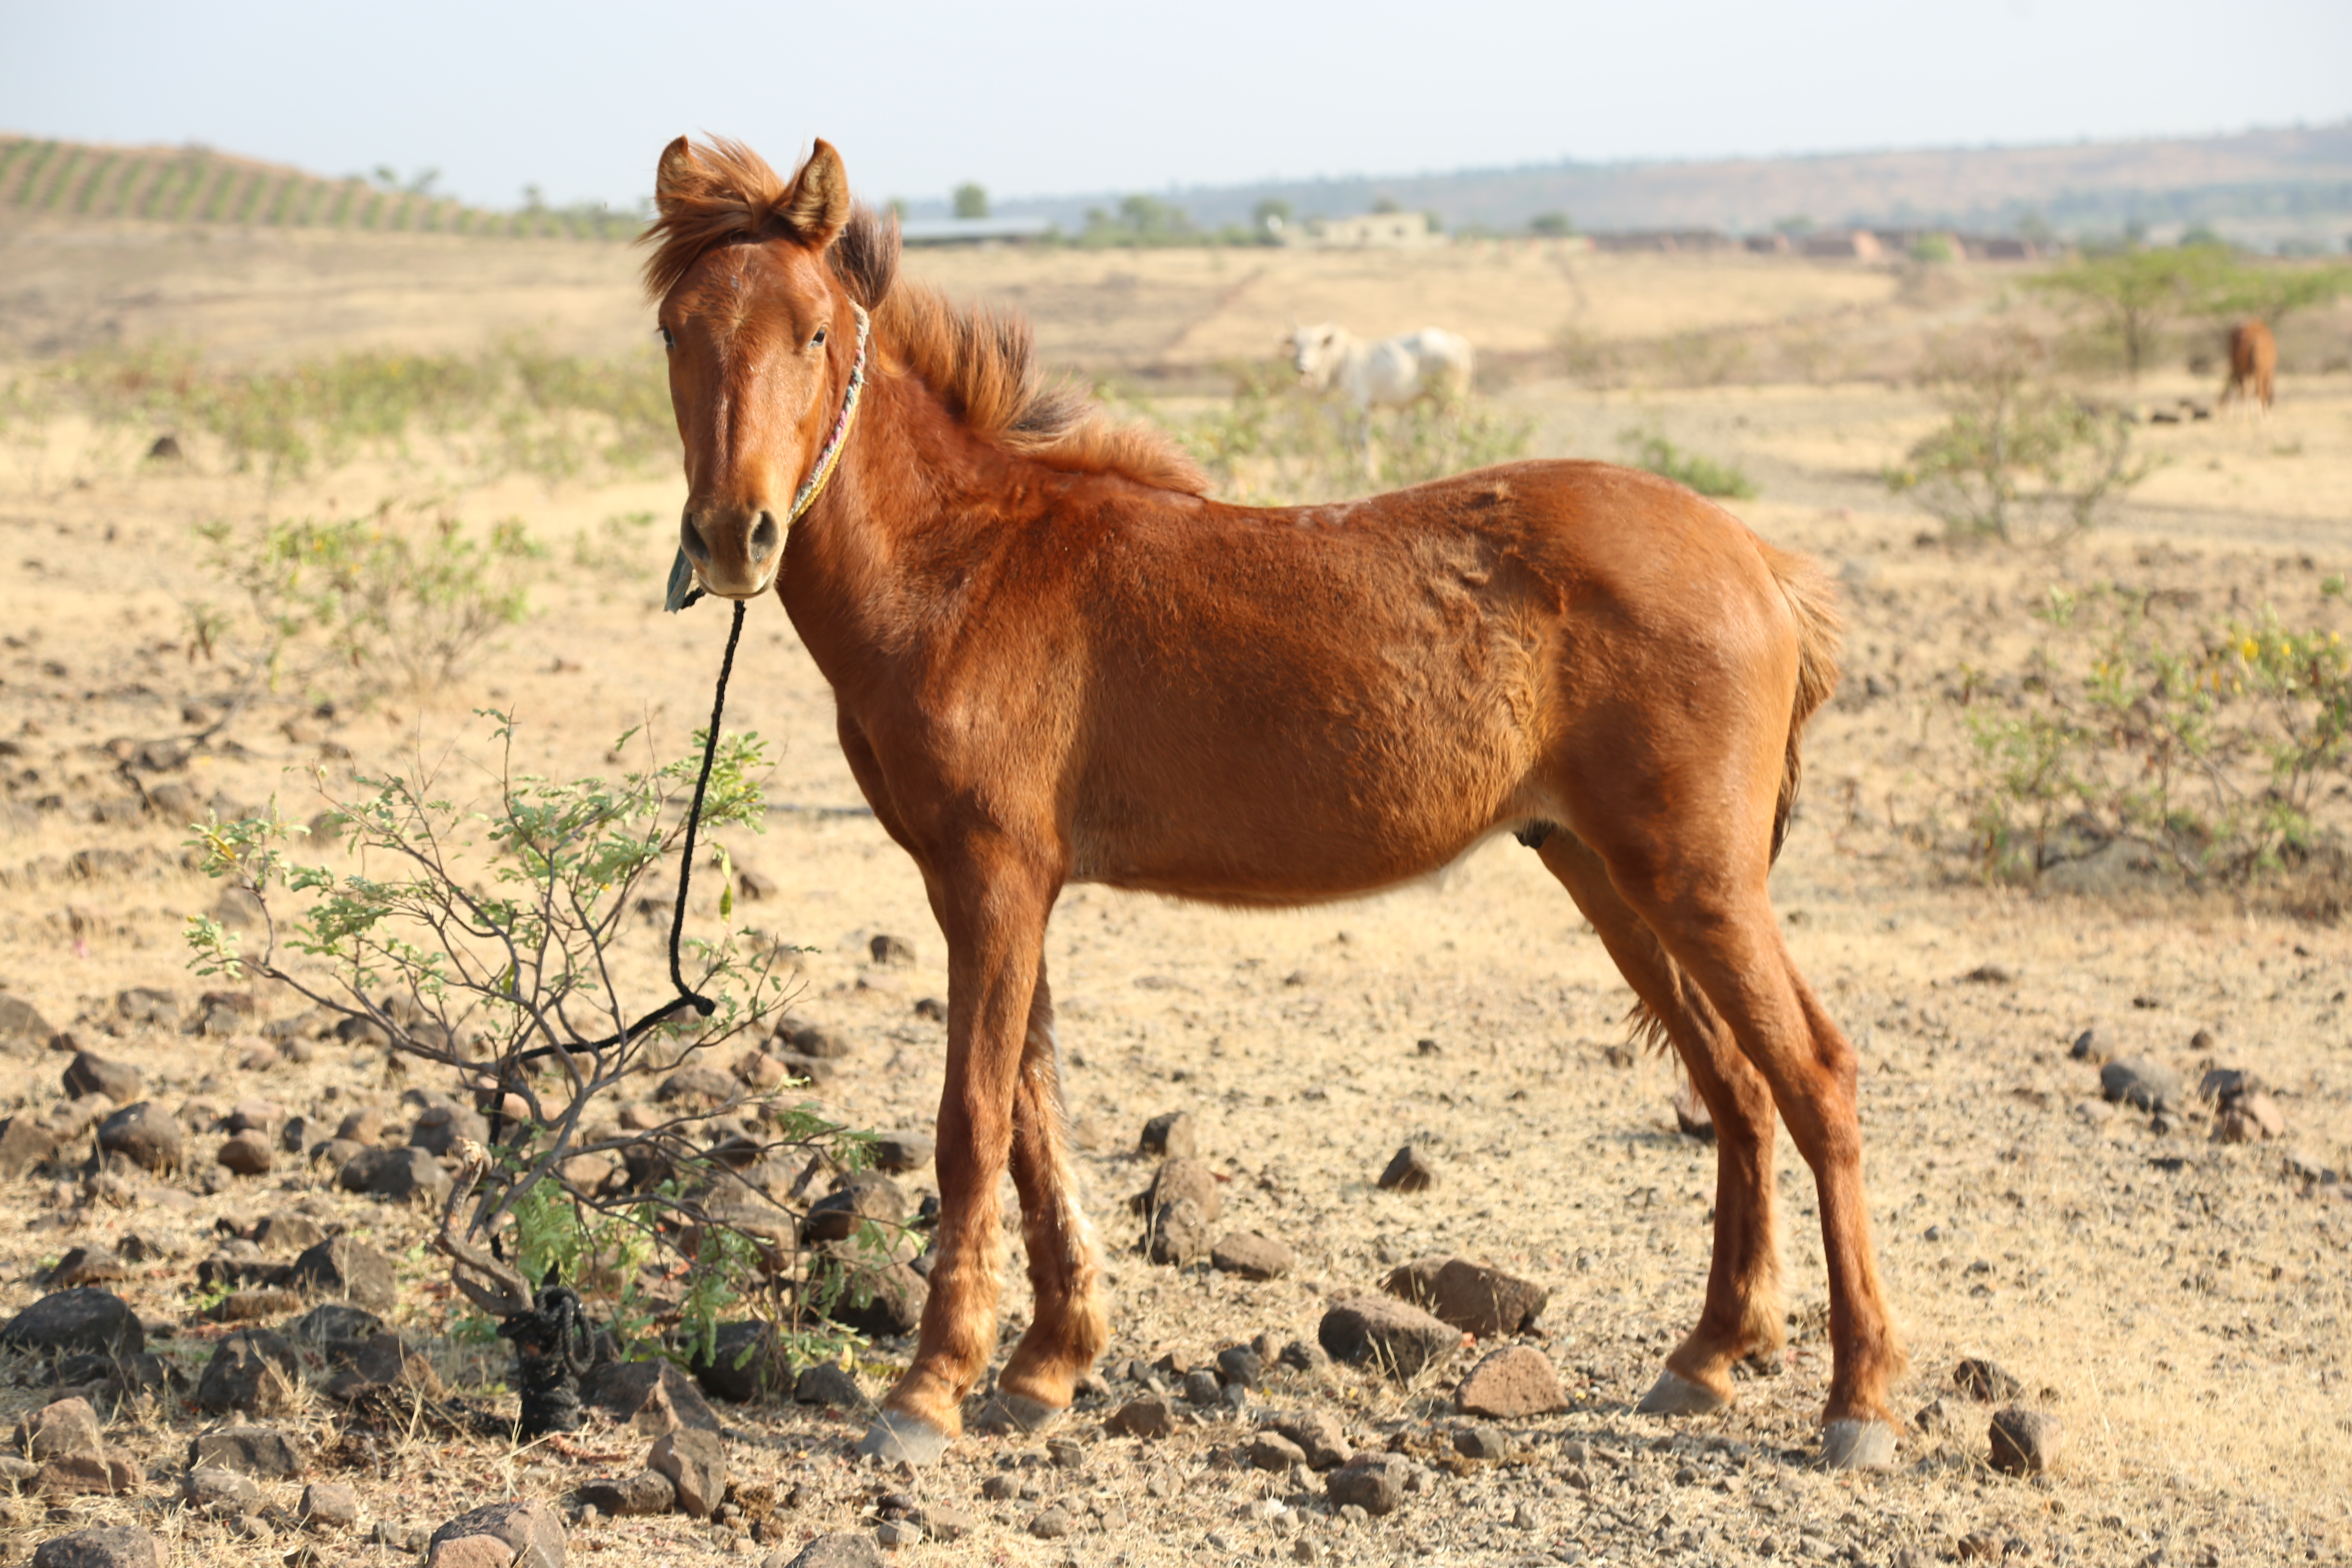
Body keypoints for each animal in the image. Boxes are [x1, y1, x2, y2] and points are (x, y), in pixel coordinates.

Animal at [643, 135, 1907, 1472]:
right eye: (675, 330)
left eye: (814, 331)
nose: (733, 535)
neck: (969, 565)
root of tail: (1759, 561)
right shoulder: (986, 882)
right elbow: (1037, 1110)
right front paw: (1046, 1364)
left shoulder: (994, 879)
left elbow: (974, 1118)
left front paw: (928, 1390)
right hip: (1607, 869)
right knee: (1734, 1085)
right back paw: (1708, 1356)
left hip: (1697, 877)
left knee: (1817, 1077)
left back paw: (1860, 1401)